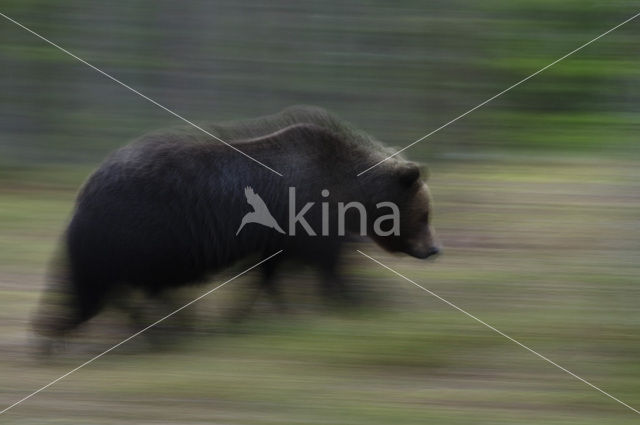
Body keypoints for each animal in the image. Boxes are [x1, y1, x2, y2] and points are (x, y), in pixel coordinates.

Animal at [33, 104, 440, 340]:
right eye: (425, 214)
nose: (434, 249)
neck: (349, 191)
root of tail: (85, 190)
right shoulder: (307, 220)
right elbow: (327, 267)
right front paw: (356, 302)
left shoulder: (279, 236)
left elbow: (268, 276)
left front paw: (251, 313)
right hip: (142, 233)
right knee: (108, 289)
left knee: (116, 290)